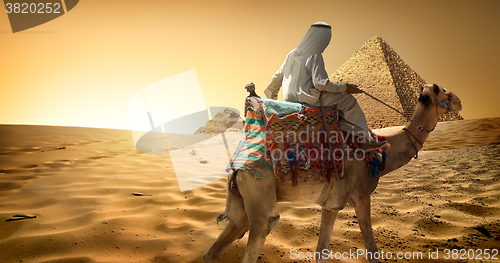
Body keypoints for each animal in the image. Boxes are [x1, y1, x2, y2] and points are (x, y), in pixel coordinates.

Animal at [201, 84, 462, 262]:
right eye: (443, 91)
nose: (459, 100)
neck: (381, 154)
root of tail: (236, 167)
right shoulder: (361, 196)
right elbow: (372, 251)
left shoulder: (331, 205)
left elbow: (321, 252)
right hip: (259, 193)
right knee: (262, 227)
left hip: (240, 202)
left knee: (217, 246)